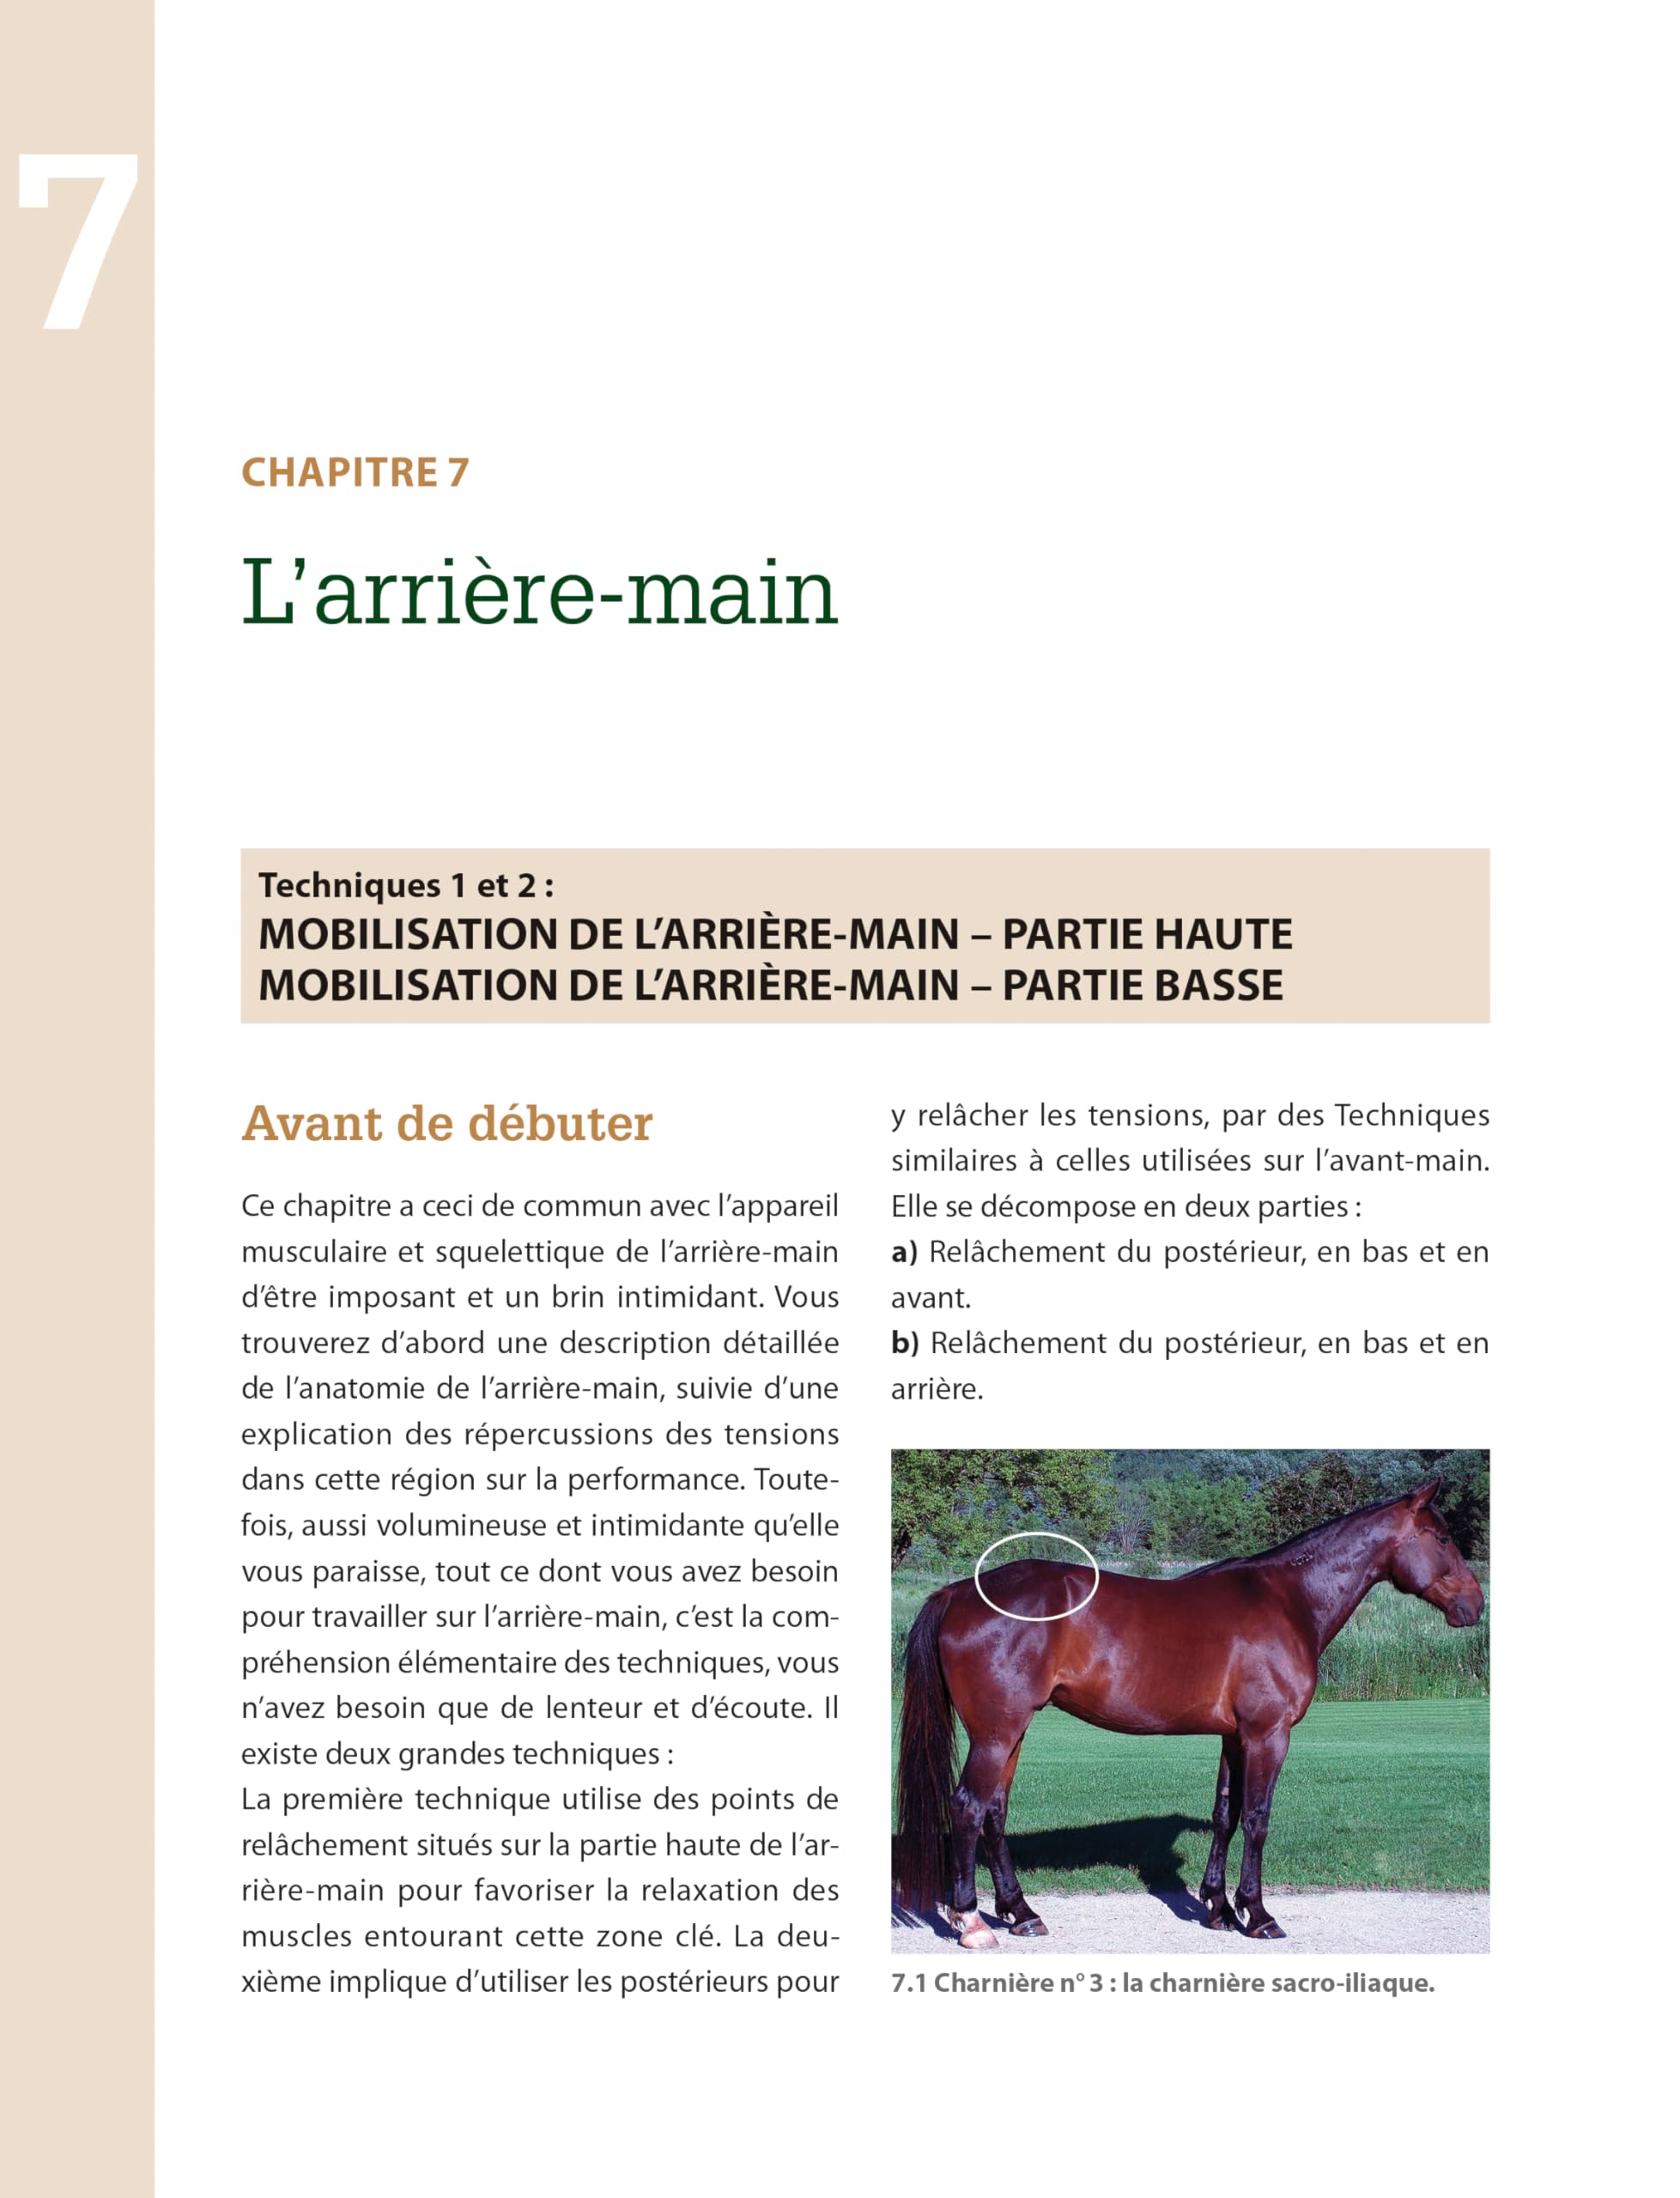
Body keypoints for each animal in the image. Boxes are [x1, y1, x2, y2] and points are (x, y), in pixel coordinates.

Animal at [893, 1479, 1484, 1947]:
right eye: (1442, 1538)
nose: (1475, 1605)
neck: (1287, 1600)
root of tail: (957, 1593)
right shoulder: (1269, 1734)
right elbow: (1257, 1818)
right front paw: (1259, 1915)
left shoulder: (1235, 1736)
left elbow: (1226, 1814)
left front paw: (1219, 1908)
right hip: (996, 1734)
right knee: (969, 1808)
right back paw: (973, 1923)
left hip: (1009, 1734)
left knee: (994, 1813)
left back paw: (1021, 1913)